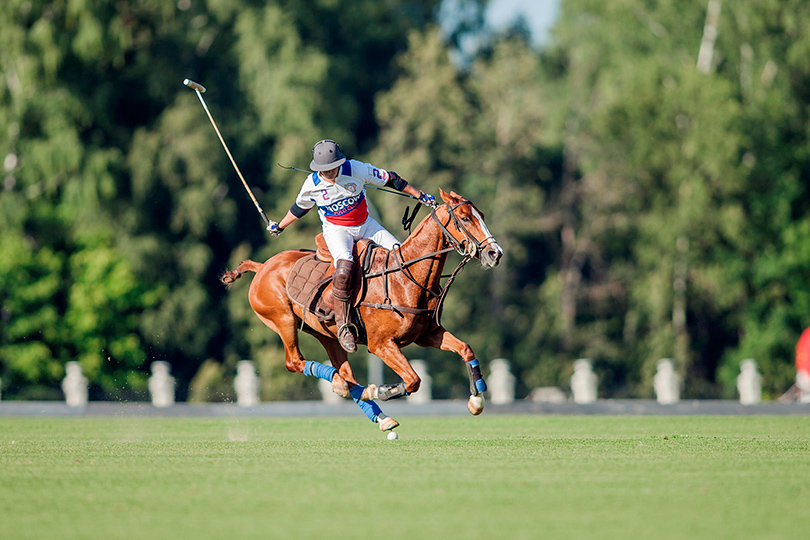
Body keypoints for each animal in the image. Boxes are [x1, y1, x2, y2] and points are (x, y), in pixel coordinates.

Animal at [219, 188, 498, 432]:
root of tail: (263, 265)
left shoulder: (428, 334)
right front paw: (379, 390)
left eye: (482, 215)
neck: (405, 278)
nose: (496, 253)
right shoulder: (381, 344)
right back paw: (345, 387)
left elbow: (466, 349)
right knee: (295, 362)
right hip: (282, 319)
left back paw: (376, 413)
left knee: (345, 371)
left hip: (326, 332)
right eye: (465, 218)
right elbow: (413, 380)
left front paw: (476, 402)